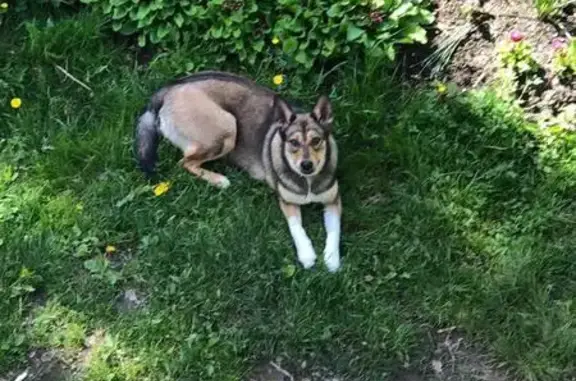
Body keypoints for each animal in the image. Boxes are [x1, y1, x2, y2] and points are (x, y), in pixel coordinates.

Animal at [135, 69, 342, 270]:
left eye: (316, 140)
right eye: (293, 142)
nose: (307, 165)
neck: (308, 182)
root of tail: (168, 89)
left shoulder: (333, 200)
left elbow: (334, 230)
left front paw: (332, 259)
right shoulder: (287, 202)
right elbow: (297, 229)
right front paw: (307, 255)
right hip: (227, 127)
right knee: (185, 162)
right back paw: (219, 180)